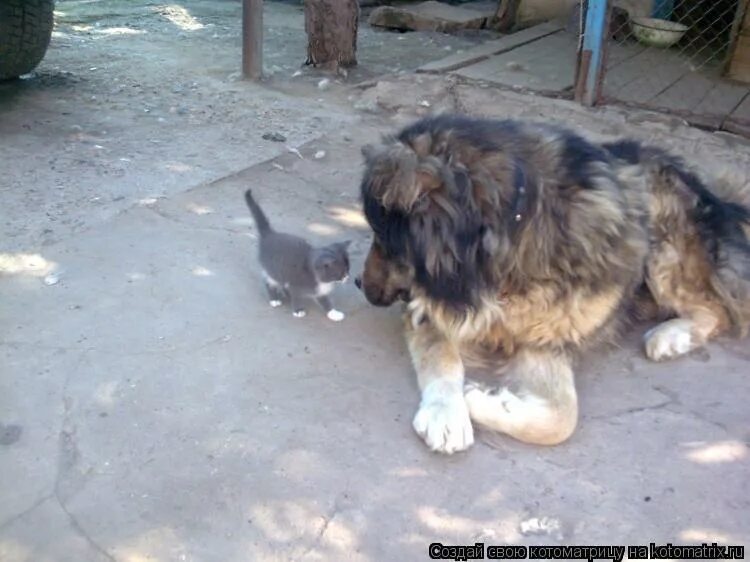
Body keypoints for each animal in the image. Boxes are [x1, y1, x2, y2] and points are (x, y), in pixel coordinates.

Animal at [247, 188, 352, 320]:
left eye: (348, 269)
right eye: (341, 272)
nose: (347, 277)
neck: (317, 277)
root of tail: (270, 234)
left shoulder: (319, 290)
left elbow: (325, 301)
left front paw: (333, 313)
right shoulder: (297, 284)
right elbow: (296, 297)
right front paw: (298, 310)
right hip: (274, 269)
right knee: (269, 281)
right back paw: (274, 299)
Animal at [356, 116, 750, 452]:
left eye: (381, 237)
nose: (359, 282)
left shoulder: (547, 339)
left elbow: (562, 420)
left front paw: (479, 398)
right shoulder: (436, 309)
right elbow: (444, 360)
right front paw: (447, 413)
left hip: (664, 249)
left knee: (717, 309)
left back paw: (671, 336)